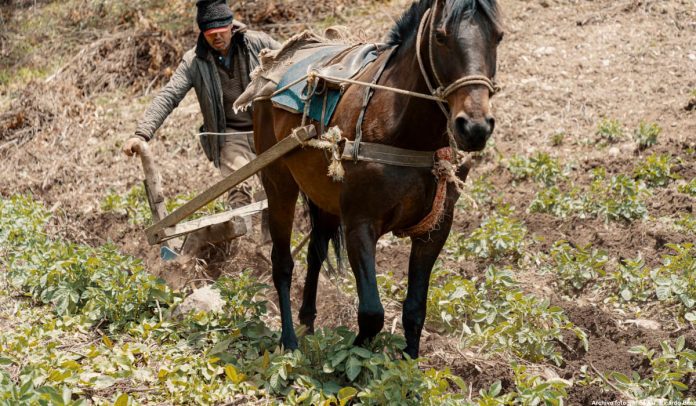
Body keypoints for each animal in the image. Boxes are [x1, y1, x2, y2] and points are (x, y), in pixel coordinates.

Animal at [253, 0, 502, 356]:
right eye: (440, 37)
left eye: (498, 36)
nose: (475, 127)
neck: (405, 131)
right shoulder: (360, 224)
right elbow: (371, 313)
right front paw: (355, 355)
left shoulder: (436, 229)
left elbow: (415, 309)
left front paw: (407, 362)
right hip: (278, 184)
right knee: (283, 263)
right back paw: (289, 340)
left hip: (323, 197)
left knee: (315, 253)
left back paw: (308, 323)